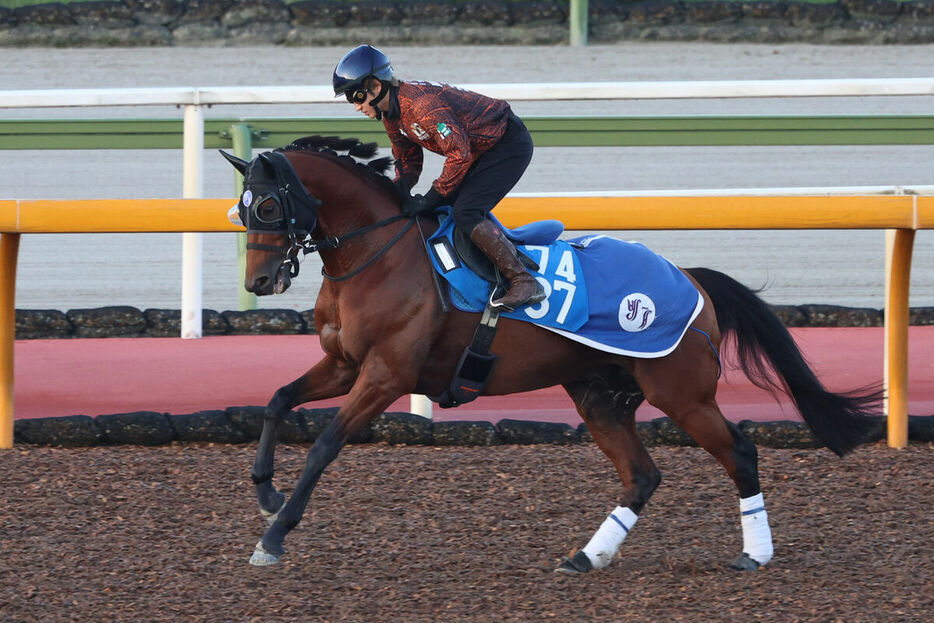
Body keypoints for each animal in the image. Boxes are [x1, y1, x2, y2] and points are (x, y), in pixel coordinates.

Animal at [219, 138, 884, 576]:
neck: (377, 253)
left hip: (682, 392)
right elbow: (277, 400)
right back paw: (587, 556)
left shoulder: (385, 375)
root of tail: (690, 278)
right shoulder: (346, 365)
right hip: (599, 394)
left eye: (268, 206)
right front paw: (265, 492)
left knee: (739, 452)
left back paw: (754, 553)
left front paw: (273, 536)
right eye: (240, 209)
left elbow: (326, 445)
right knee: (642, 475)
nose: (259, 281)